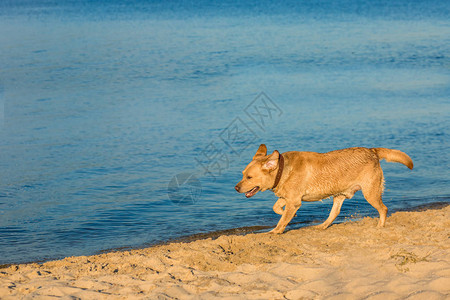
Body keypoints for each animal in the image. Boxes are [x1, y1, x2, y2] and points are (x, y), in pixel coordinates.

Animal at [236, 145, 414, 234]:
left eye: (249, 177)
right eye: (243, 174)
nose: (236, 187)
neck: (282, 169)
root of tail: (372, 151)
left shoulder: (294, 201)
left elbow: (282, 221)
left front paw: (275, 231)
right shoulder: (289, 198)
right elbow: (277, 208)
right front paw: (288, 214)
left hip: (370, 193)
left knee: (383, 209)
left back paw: (380, 226)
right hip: (340, 195)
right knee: (334, 213)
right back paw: (322, 226)